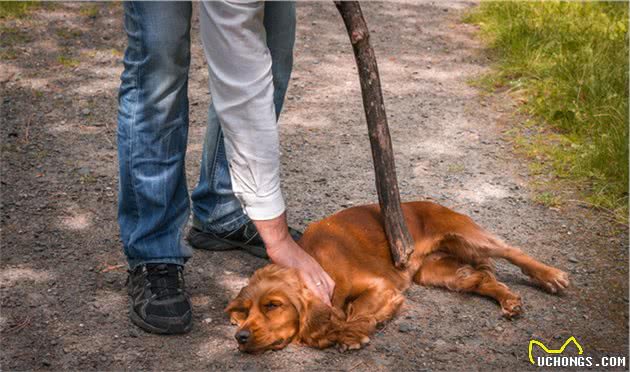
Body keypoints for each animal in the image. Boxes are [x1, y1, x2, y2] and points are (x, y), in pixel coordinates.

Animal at [225, 202, 572, 354]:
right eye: (245, 312)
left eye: (273, 305)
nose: (239, 337)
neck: (315, 261)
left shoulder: (381, 287)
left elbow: (355, 312)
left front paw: (349, 334)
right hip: (437, 272)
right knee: (480, 280)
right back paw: (509, 300)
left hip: (467, 235)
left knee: (513, 251)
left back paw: (551, 275)